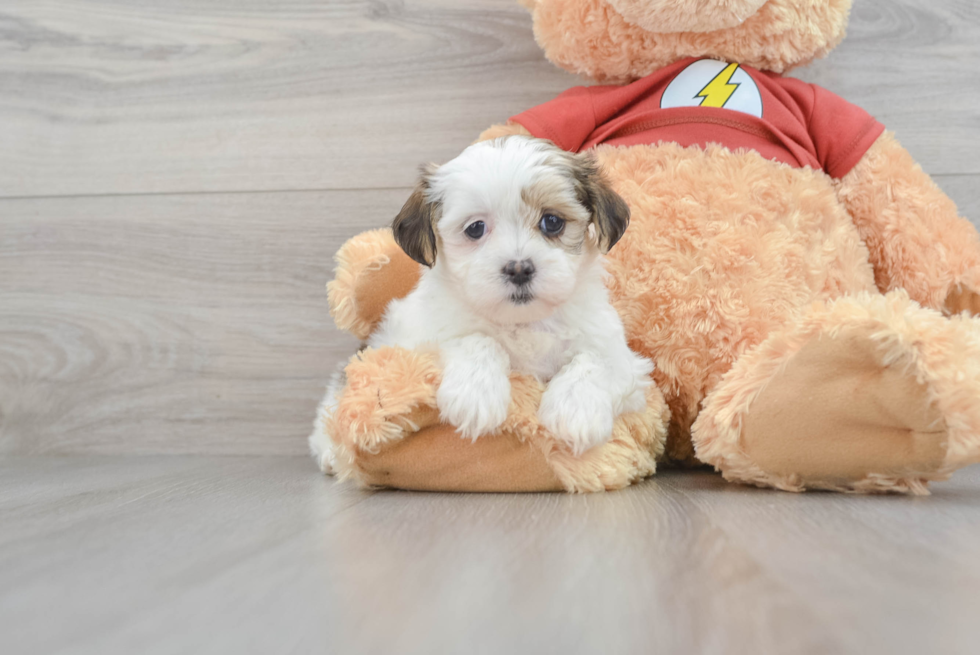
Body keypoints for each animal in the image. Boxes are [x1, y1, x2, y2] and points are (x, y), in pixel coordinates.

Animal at [312, 135, 652, 472]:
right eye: (475, 228)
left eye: (552, 221)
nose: (519, 268)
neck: (521, 321)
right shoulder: (416, 343)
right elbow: (476, 340)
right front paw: (475, 395)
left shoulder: (624, 359)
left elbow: (596, 359)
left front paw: (575, 412)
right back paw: (328, 450)